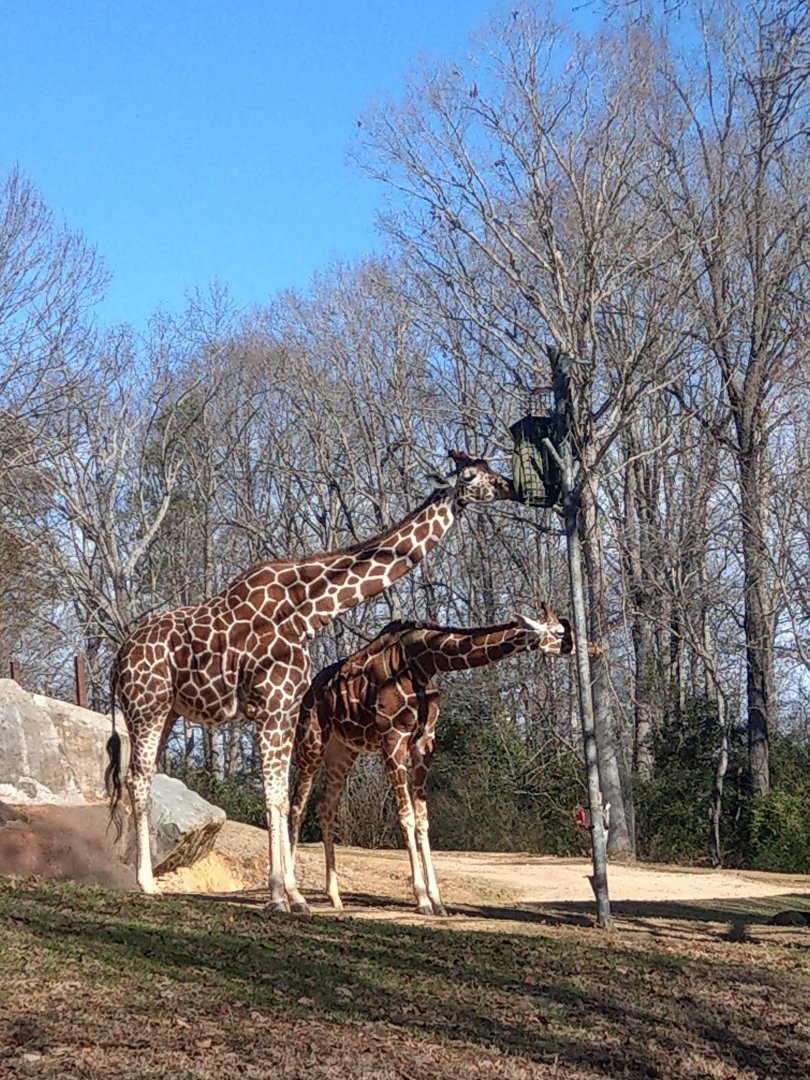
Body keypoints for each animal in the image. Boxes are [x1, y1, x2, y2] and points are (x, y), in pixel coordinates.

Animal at [105, 451, 514, 912]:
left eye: (490, 468)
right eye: (472, 476)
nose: (509, 485)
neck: (309, 612)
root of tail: (118, 658)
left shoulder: (284, 710)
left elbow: (283, 800)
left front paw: (294, 894)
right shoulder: (273, 707)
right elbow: (275, 798)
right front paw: (278, 895)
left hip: (170, 711)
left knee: (145, 777)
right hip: (147, 705)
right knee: (138, 779)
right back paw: (145, 882)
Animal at [290, 605, 596, 915]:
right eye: (558, 631)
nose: (588, 647)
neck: (425, 660)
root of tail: (307, 692)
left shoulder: (424, 742)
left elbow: (423, 819)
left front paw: (438, 900)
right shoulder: (393, 739)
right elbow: (406, 817)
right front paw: (422, 899)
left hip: (342, 749)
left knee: (325, 808)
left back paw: (334, 896)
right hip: (311, 741)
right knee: (296, 807)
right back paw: (293, 896)